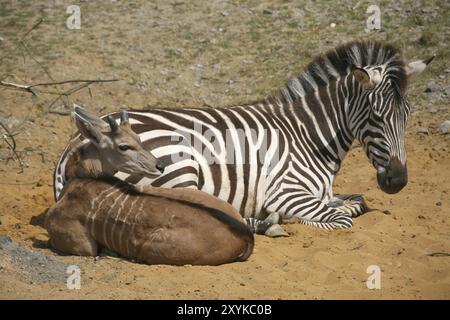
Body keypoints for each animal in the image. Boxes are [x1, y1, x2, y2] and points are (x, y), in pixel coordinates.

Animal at [45, 106, 253, 266]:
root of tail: (247, 233)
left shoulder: (82, 246)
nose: (160, 165)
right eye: (124, 146)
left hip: (149, 250)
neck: (81, 177)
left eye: (138, 139)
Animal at [52, 40, 432, 236]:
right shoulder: (287, 193)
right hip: (177, 167)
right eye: (376, 117)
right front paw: (289, 218)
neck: (308, 135)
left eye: (407, 115)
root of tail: (77, 141)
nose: (398, 181)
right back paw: (266, 223)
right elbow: (341, 217)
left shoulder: (323, 192)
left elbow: (356, 201)